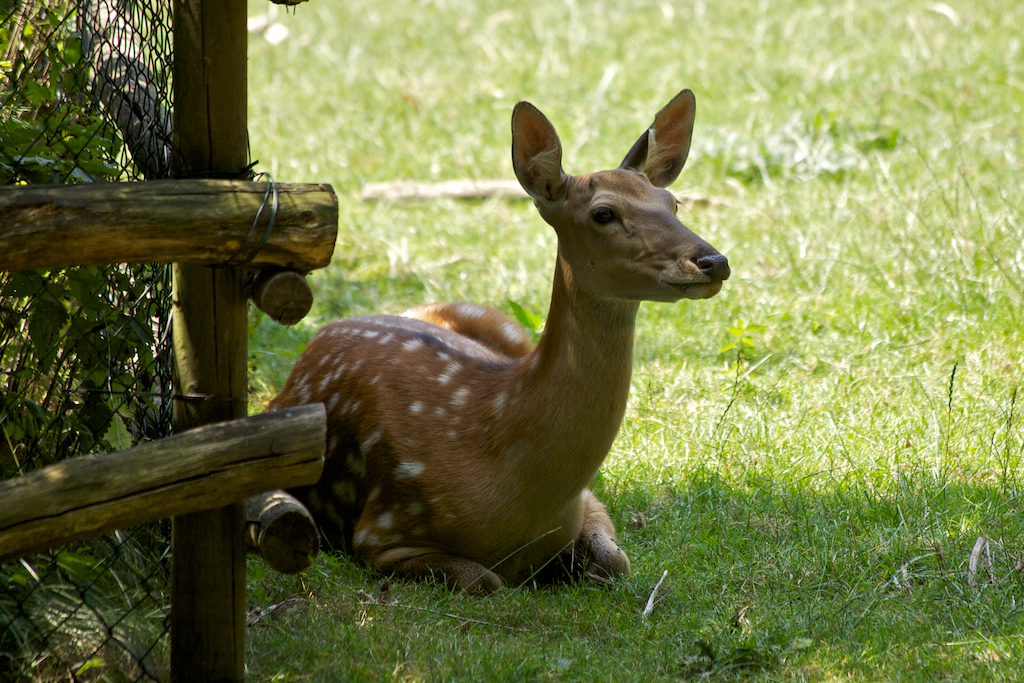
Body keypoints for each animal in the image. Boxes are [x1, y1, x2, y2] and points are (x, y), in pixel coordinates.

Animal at [268, 89, 724, 593]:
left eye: (673, 202)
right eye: (603, 213)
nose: (713, 261)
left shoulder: (587, 503)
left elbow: (614, 562)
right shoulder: (381, 531)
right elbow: (485, 580)